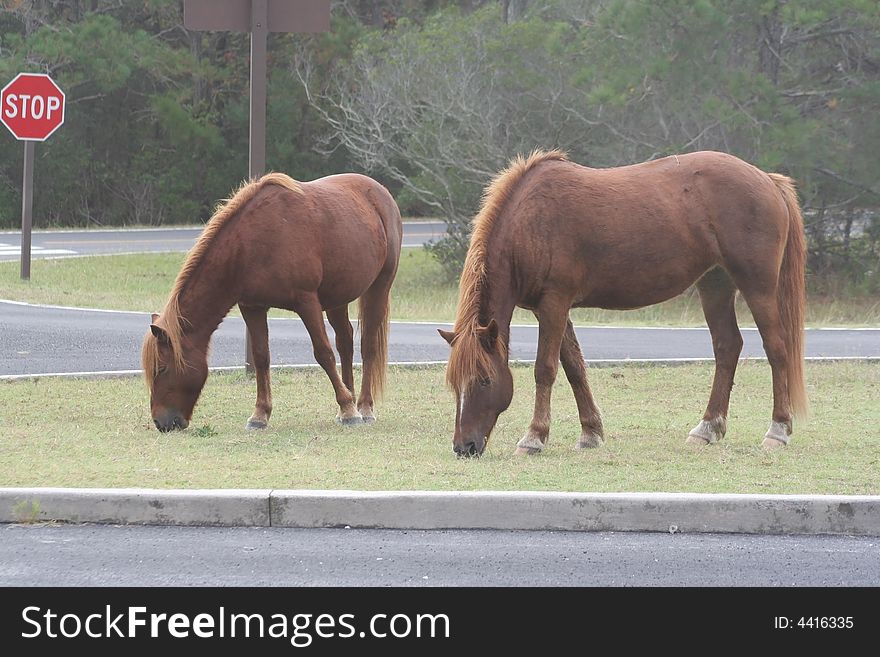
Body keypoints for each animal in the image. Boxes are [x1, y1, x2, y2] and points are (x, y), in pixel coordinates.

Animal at [142, 172, 402, 434]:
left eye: (162, 368)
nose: (161, 422)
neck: (252, 243)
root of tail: (381, 193)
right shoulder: (252, 307)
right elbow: (261, 357)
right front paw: (260, 414)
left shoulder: (307, 302)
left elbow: (323, 353)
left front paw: (349, 408)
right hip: (338, 297)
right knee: (345, 342)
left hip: (380, 286)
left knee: (368, 345)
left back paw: (363, 407)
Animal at [444, 149, 808, 456]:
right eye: (453, 383)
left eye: (484, 379)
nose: (464, 446)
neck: (531, 220)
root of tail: (767, 180)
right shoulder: (551, 309)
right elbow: (574, 368)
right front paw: (591, 432)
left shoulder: (554, 304)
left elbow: (545, 369)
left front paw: (534, 437)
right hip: (715, 284)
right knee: (727, 346)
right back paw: (707, 428)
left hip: (757, 286)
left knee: (776, 348)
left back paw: (777, 430)